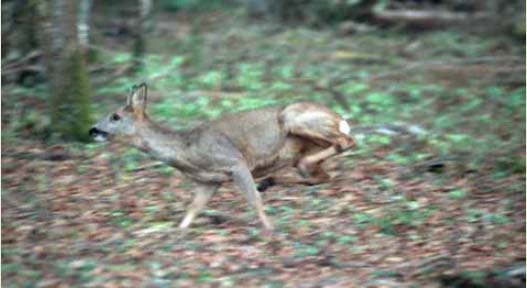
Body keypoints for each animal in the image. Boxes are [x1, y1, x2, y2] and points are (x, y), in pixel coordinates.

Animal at [89, 83, 354, 232]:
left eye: (115, 117)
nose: (92, 129)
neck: (187, 151)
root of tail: (341, 118)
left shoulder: (235, 161)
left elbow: (253, 200)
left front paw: (270, 230)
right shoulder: (208, 181)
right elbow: (193, 209)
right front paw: (176, 232)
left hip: (292, 118)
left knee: (346, 141)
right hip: (305, 156)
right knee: (321, 175)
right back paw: (270, 181)